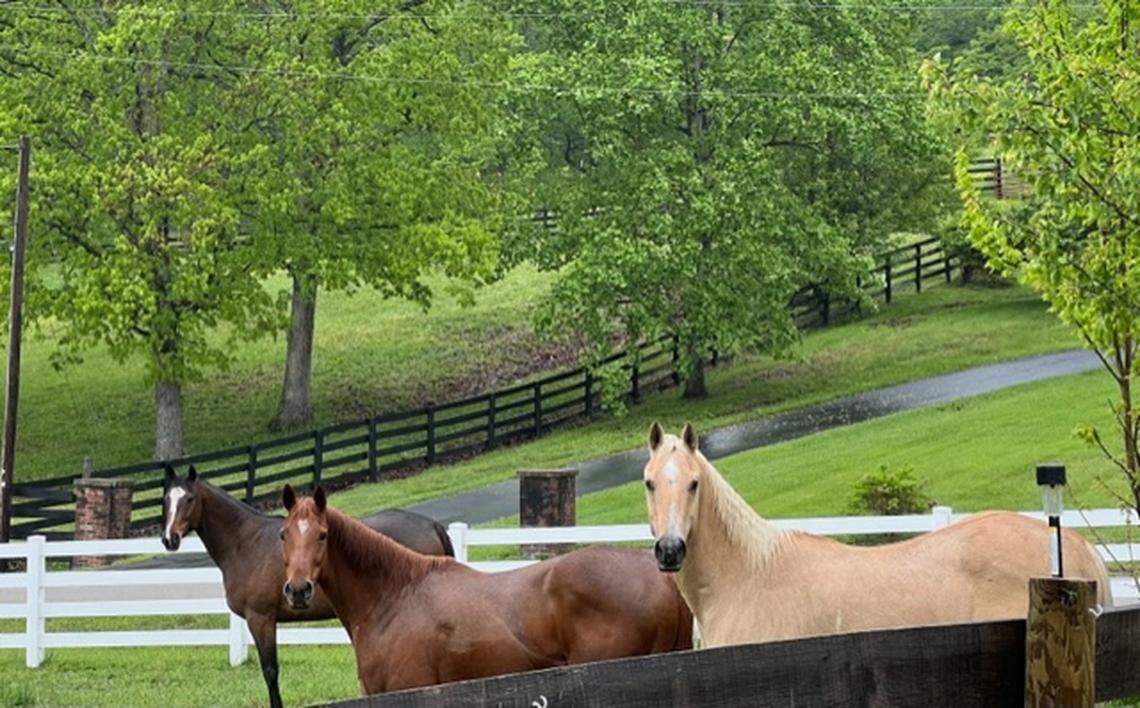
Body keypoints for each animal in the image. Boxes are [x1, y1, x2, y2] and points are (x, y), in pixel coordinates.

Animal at [161, 465, 453, 708]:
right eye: (165, 500)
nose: (169, 538)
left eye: (189, 499)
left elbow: (270, 672)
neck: (246, 542)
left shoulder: (261, 618)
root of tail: (431, 525)